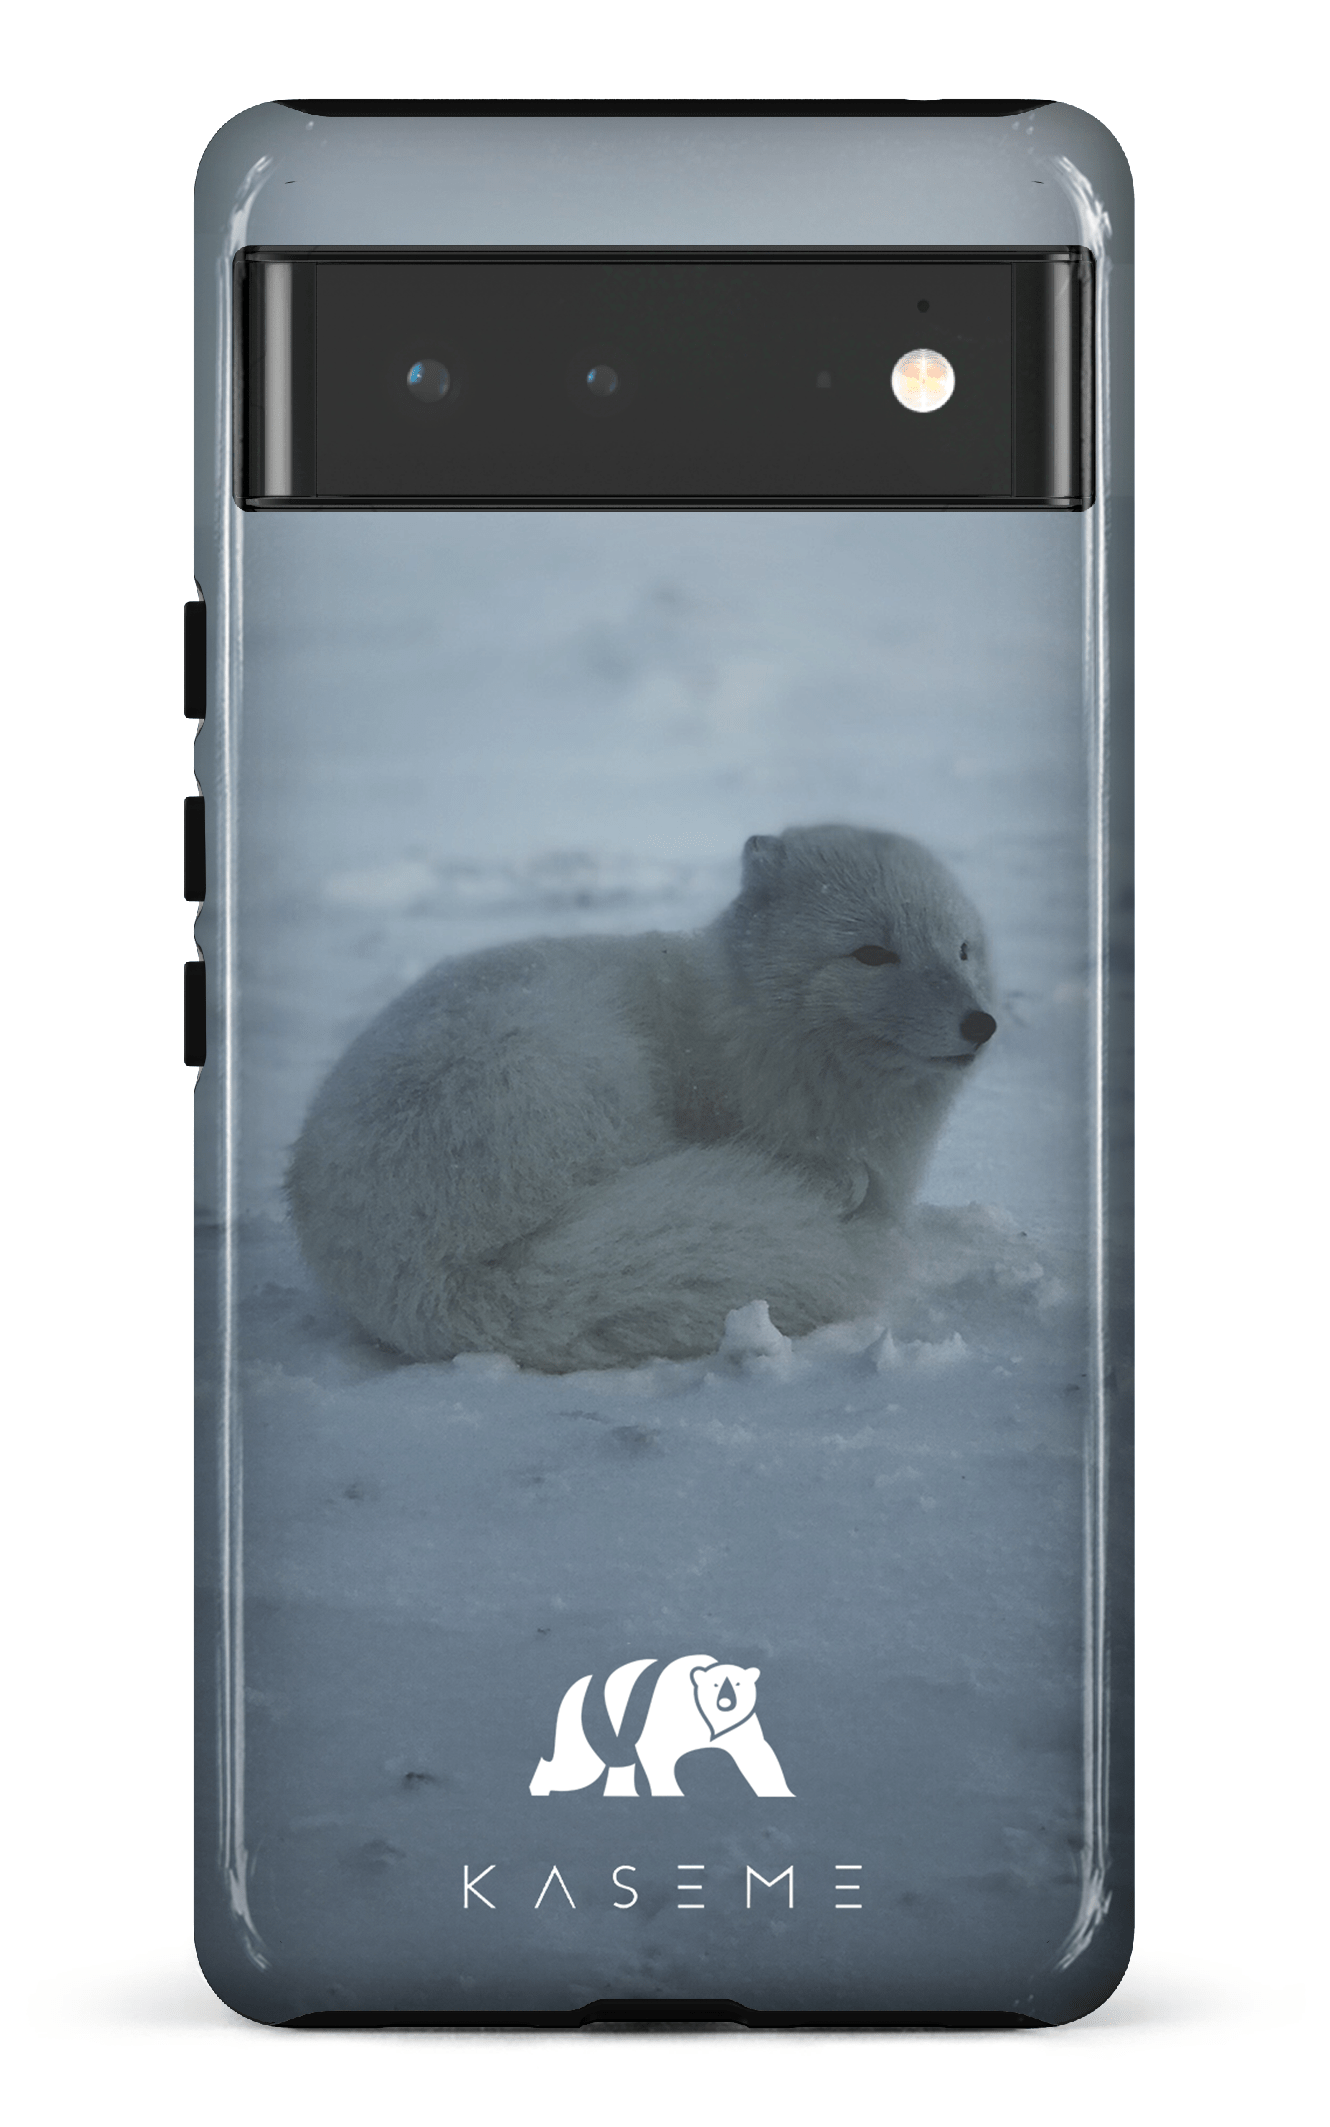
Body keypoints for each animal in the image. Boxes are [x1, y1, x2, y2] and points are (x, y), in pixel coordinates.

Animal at [287, 825, 997, 1371]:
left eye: (962, 949)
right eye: (872, 953)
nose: (981, 1023)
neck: (748, 1025)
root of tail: (430, 1278)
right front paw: (836, 1183)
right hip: (575, 1071)